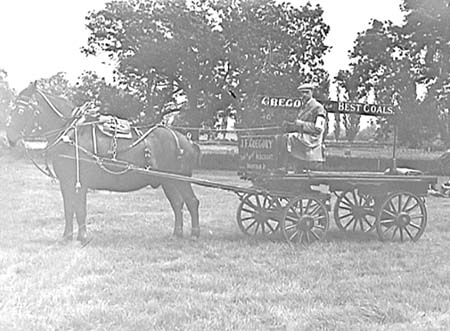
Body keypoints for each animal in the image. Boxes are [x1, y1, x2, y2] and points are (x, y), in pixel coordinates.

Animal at [6, 82, 200, 244]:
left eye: (21, 111)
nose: (9, 137)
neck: (71, 133)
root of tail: (187, 140)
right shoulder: (66, 182)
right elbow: (69, 208)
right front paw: (67, 237)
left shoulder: (80, 182)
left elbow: (80, 209)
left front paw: (82, 237)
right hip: (169, 181)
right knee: (177, 203)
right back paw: (177, 233)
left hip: (181, 179)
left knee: (192, 201)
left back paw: (195, 234)